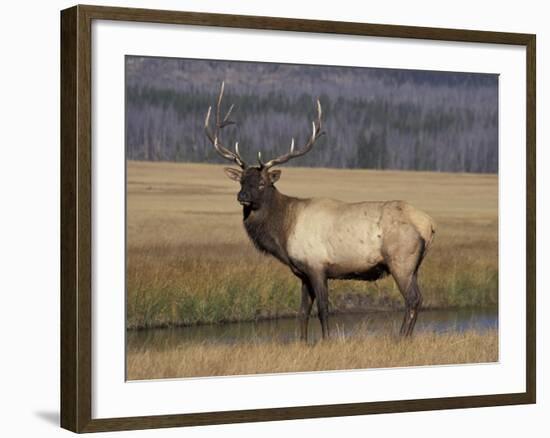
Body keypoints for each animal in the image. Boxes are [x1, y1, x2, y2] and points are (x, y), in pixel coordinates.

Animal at [205, 83, 438, 342]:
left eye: (263, 183)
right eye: (242, 181)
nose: (242, 196)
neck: (283, 233)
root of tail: (429, 224)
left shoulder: (317, 266)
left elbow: (323, 309)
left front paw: (327, 340)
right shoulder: (303, 273)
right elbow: (302, 312)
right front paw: (302, 342)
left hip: (401, 260)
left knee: (413, 299)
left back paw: (401, 338)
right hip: (414, 265)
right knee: (418, 298)